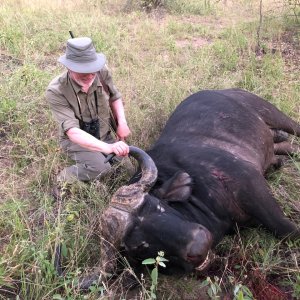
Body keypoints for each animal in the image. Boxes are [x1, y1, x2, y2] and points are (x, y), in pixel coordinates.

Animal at [78, 88, 300, 288]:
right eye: (140, 246)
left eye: (158, 206)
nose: (199, 245)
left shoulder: (249, 183)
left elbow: (286, 229)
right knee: (285, 149)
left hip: (272, 113)